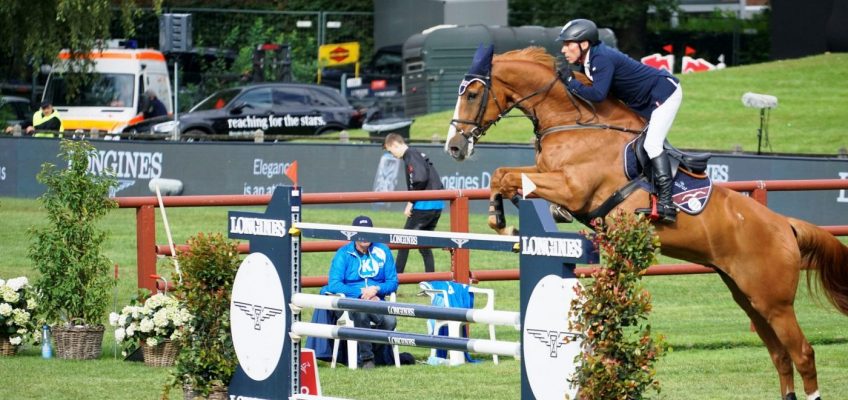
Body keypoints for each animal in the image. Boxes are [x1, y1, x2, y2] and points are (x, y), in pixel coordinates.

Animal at [448, 47, 844, 400]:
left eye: (472, 93)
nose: (454, 147)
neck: (573, 121)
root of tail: (785, 225)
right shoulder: (549, 174)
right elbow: (502, 174)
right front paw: (504, 219)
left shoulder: (573, 187)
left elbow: (511, 177)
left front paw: (504, 222)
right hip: (748, 296)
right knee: (779, 355)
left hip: (774, 302)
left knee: (802, 353)